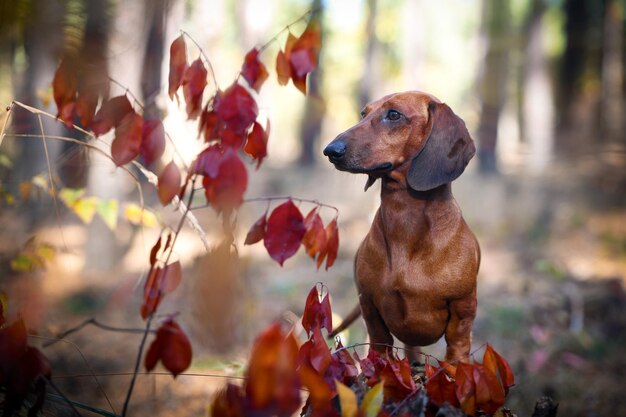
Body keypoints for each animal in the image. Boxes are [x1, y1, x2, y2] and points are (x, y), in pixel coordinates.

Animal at [322, 91, 478, 360]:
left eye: (394, 115)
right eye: (363, 113)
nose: (330, 150)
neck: (405, 222)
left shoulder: (462, 310)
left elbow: (457, 349)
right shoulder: (370, 307)